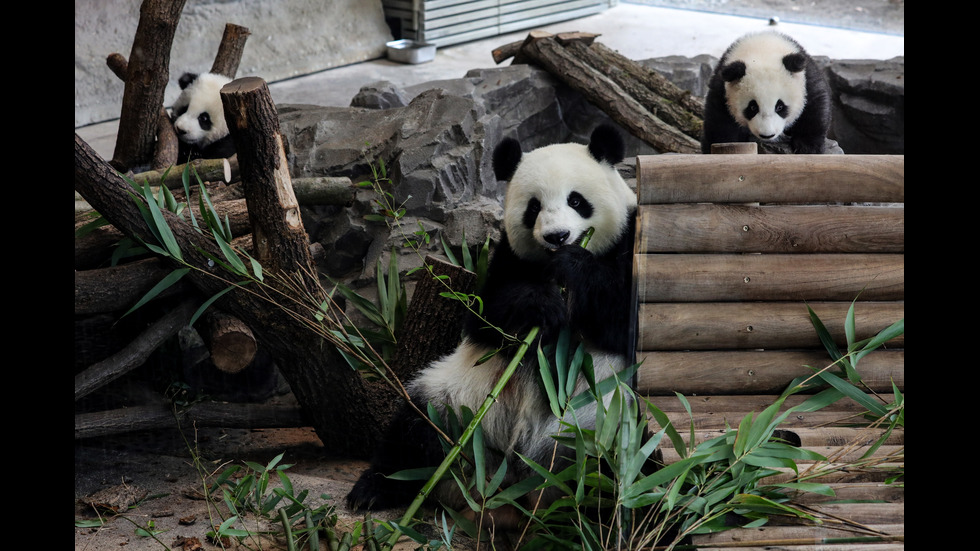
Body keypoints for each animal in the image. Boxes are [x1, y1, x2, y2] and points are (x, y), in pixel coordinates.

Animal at [348, 124, 640, 520]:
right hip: (458, 402)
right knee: (415, 429)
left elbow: (626, 318)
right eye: (533, 207)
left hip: (602, 426)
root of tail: (515, 471)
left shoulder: (632, 240)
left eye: (576, 200)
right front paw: (541, 305)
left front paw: (573, 266)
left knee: (613, 468)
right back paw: (373, 489)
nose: (557, 237)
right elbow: (487, 320)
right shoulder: (508, 259)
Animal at [700, 31, 832, 154]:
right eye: (752, 107)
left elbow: (815, 106)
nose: (767, 135)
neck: (763, 48)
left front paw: (807, 148)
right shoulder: (722, 91)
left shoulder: (806, 79)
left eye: (780, 107)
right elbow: (720, 122)